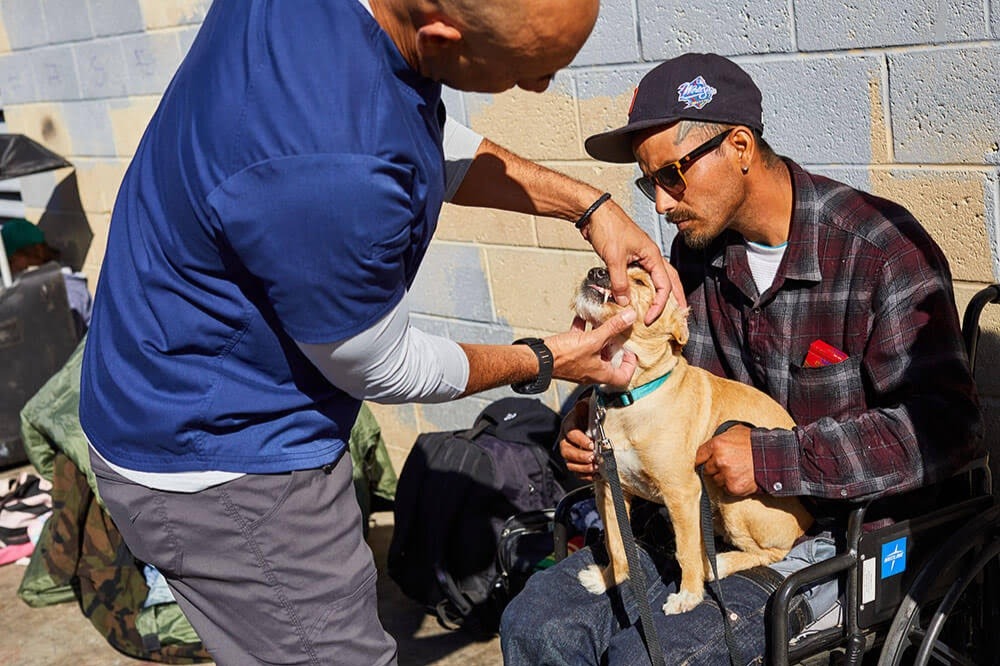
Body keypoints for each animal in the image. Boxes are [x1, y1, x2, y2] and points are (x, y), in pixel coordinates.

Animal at [572, 264, 812, 612]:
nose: (597, 270)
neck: (628, 398)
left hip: (736, 502)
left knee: (773, 553)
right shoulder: (608, 487)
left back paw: (719, 564)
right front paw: (608, 580)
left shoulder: (681, 493)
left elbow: (684, 551)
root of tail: (808, 519)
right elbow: (616, 543)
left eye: (641, 281)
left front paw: (689, 596)